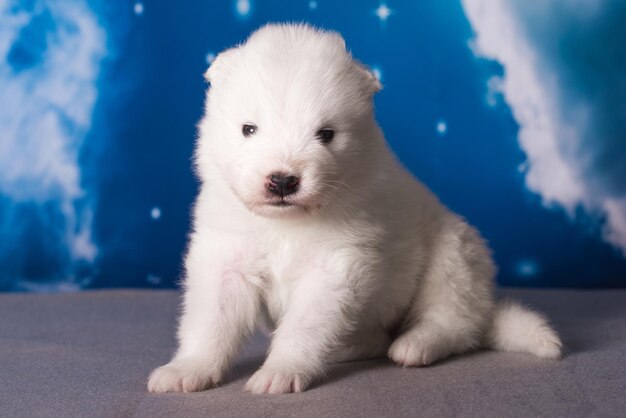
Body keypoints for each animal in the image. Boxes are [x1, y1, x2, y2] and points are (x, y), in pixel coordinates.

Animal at [147, 22, 560, 396]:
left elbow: (303, 327)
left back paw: (417, 344)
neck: (286, 225)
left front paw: (281, 371)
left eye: (326, 134)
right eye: (249, 129)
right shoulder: (226, 260)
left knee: (453, 321)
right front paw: (188, 369)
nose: (282, 181)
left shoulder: (333, 268)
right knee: (381, 336)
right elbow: (209, 323)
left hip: (451, 256)